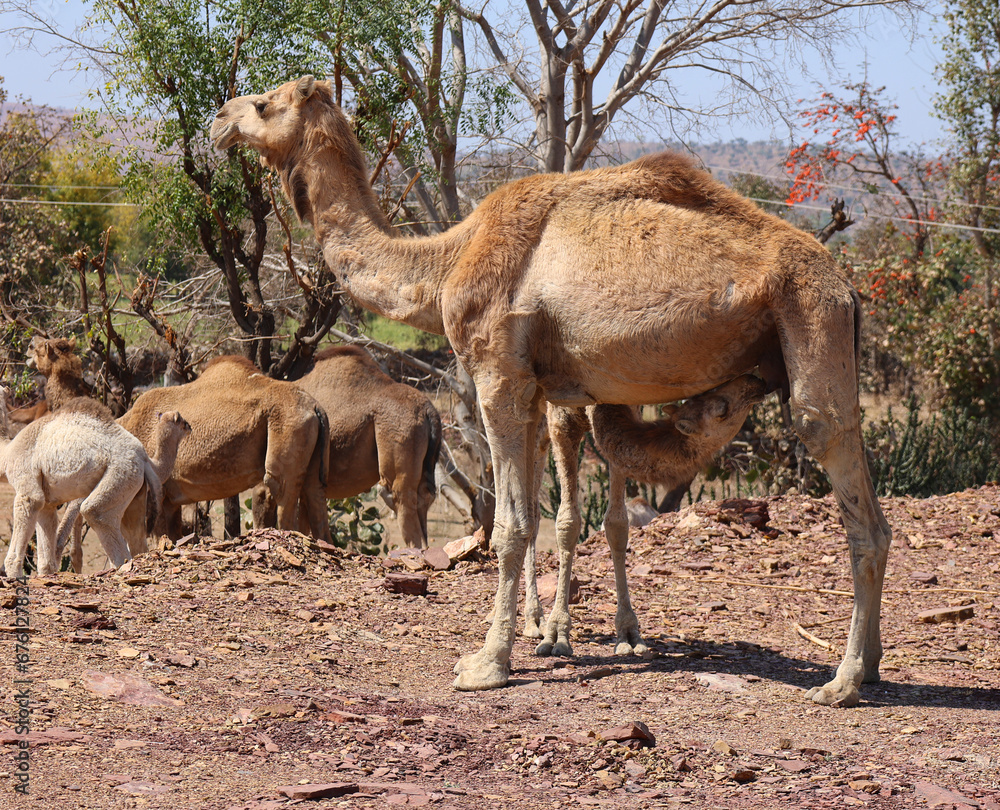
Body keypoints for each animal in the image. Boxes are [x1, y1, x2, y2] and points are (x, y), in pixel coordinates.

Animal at [0, 389, 156, 578]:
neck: (6, 452)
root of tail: (144, 457)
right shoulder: (47, 502)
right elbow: (47, 558)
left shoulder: (27, 486)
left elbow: (30, 503)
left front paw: (14, 575)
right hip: (134, 490)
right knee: (135, 535)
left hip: (120, 474)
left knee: (97, 515)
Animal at [118, 355, 329, 540]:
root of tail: (315, 406)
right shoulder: (169, 499)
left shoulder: (157, 492)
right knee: (314, 493)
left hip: (287, 426)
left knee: (280, 488)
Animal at [523, 374, 768, 657]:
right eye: (721, 408)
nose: (755, 381)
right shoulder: (560, 418)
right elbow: (568, 522)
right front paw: (557, 635)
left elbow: (617, 524)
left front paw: (629, 634)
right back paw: (532, 621)